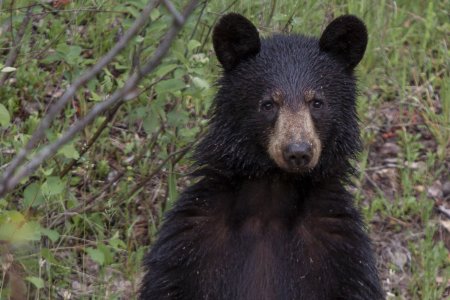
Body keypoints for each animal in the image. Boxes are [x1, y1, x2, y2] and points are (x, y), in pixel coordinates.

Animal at [140, 12, 384, 298]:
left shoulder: (340, 250)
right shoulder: (189, 243)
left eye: (317, 102)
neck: (272, 194)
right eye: (268, 104)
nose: (298, 152)